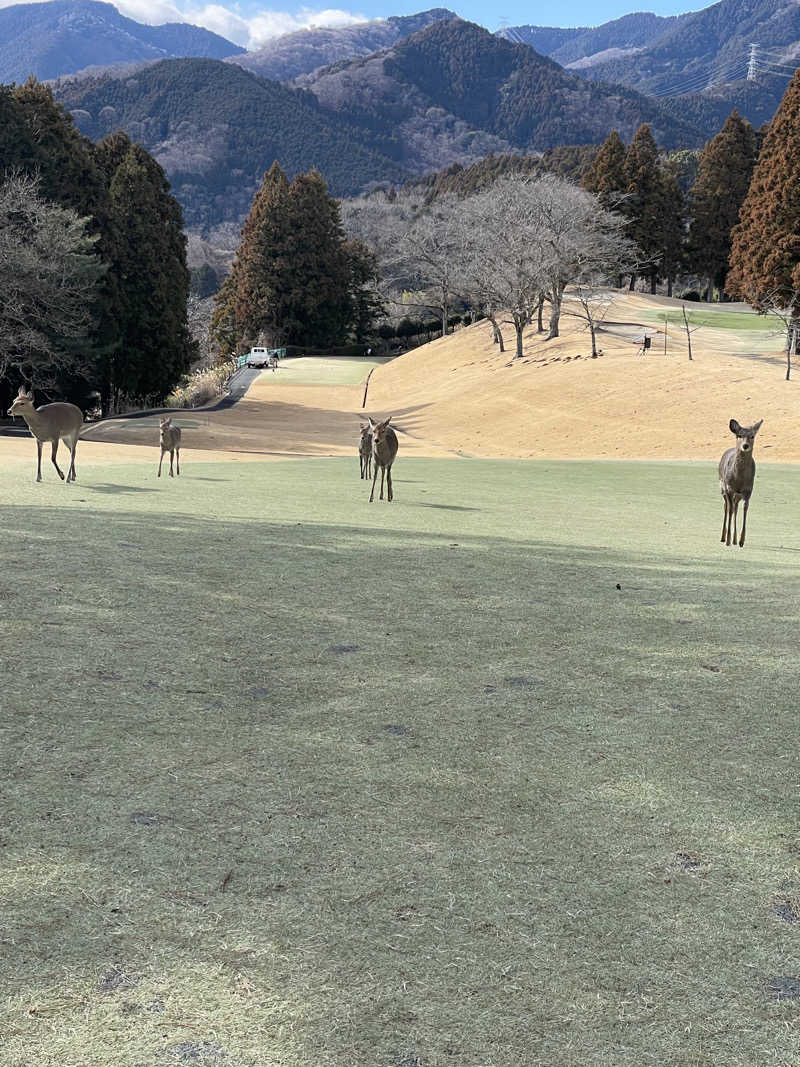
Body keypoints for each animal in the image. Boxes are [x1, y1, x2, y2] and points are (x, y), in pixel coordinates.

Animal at [721, 416, 763, 550]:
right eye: (739, 435)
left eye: (752, 436)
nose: (745, 445)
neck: (739, 479)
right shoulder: (729, 488)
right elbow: (729, 511)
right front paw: (728, 540)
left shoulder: (748, 490)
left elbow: (745, 510)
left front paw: (741, 541)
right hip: (722, 488)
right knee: (727, 507)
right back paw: (723, 538)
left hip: (737, 496)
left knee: (735, 508)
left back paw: (734, 540)